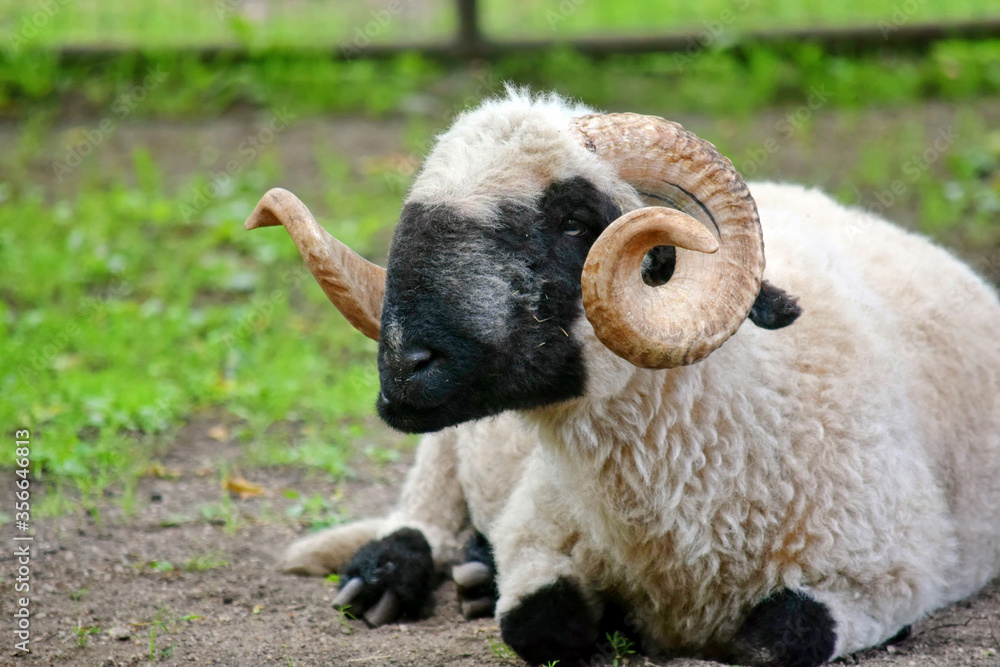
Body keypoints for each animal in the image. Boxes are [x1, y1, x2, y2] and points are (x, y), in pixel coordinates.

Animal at [247, 88, 1000, 666]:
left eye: (575, 221)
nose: (404, 365)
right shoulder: (536, 534)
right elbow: (540, 625)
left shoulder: (884, 569)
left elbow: (778, 640)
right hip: (446, 449)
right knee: (421, 511)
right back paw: (386, 578)